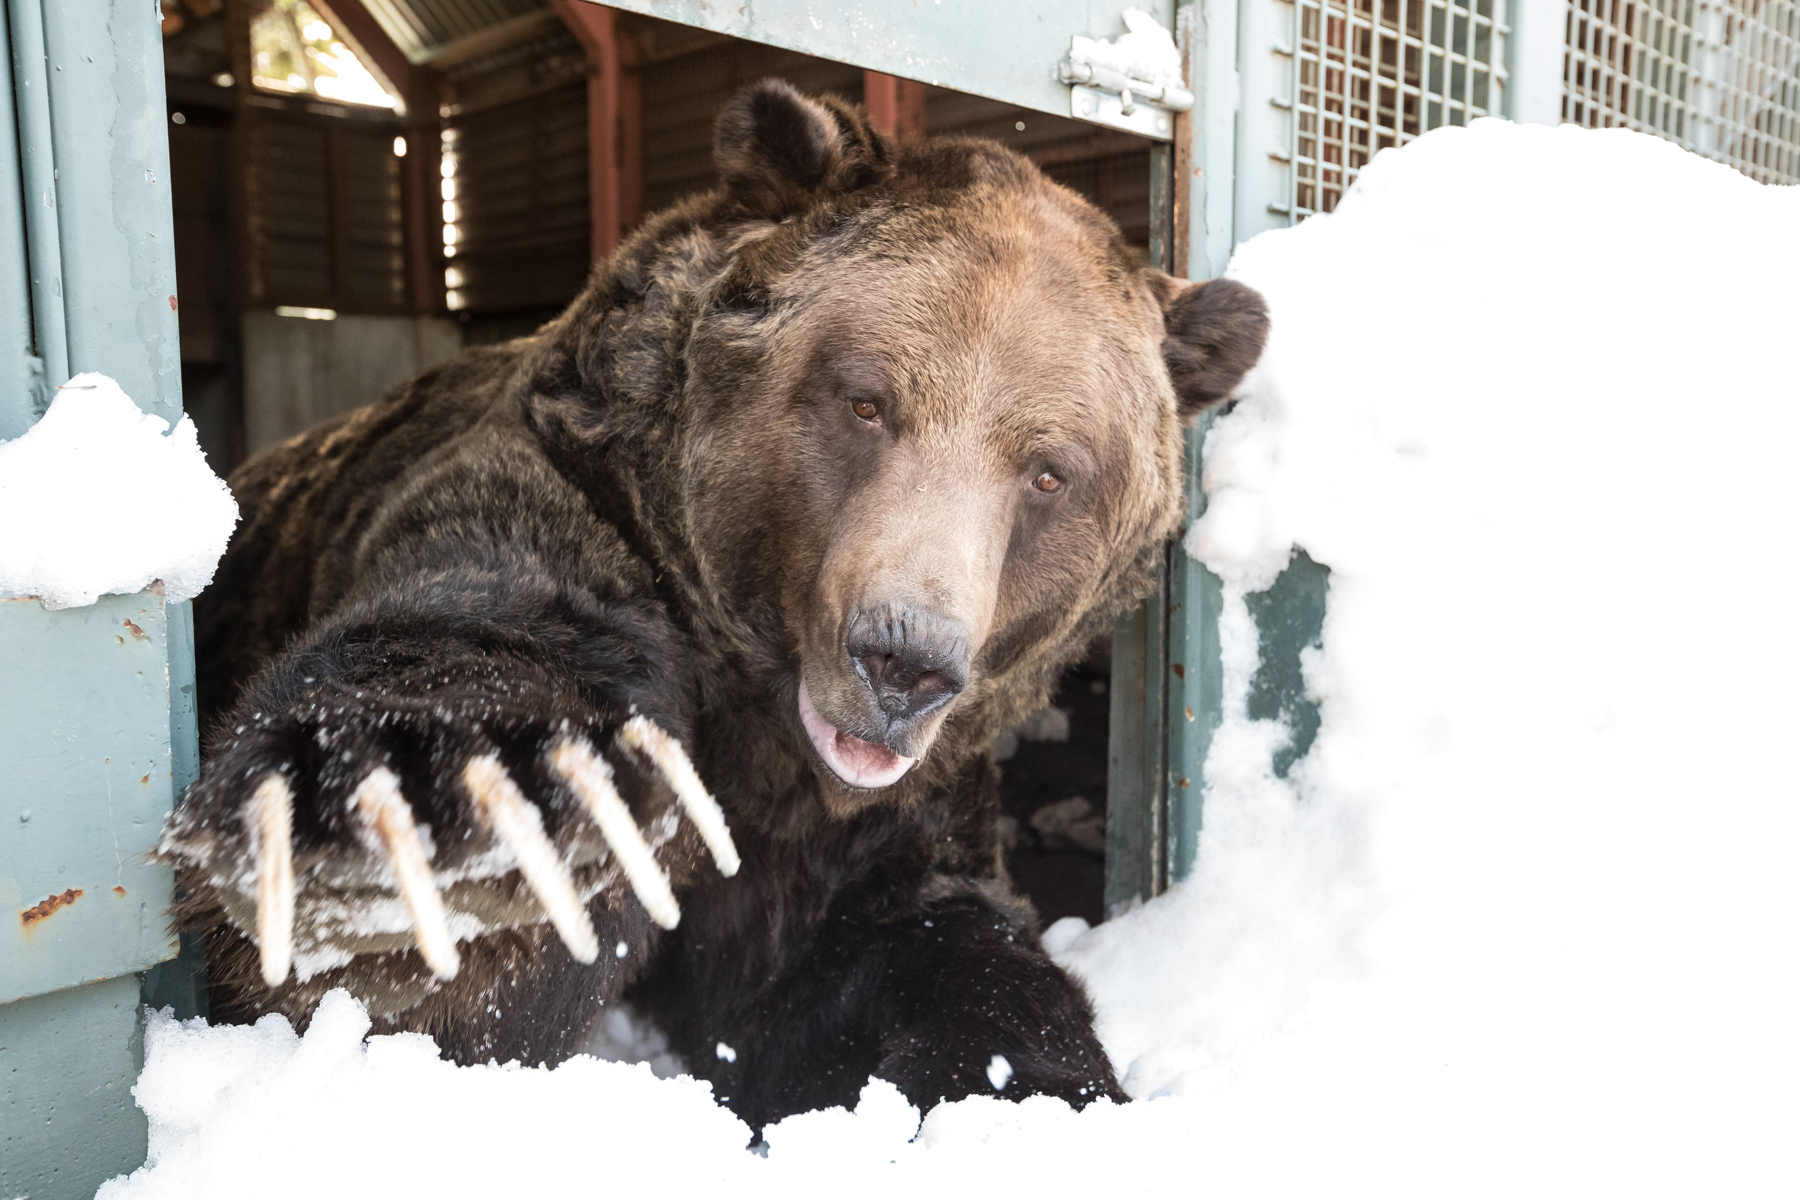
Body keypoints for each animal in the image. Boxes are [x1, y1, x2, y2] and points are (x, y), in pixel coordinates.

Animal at [160, 79, 1269, 1130]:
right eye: (865, 400)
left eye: (1050, 471)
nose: (903, 662)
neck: (758, 703)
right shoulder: (569, 512)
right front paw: (451, 839)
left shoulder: (877, 805)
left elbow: (904, 952)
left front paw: (1032, 1091)